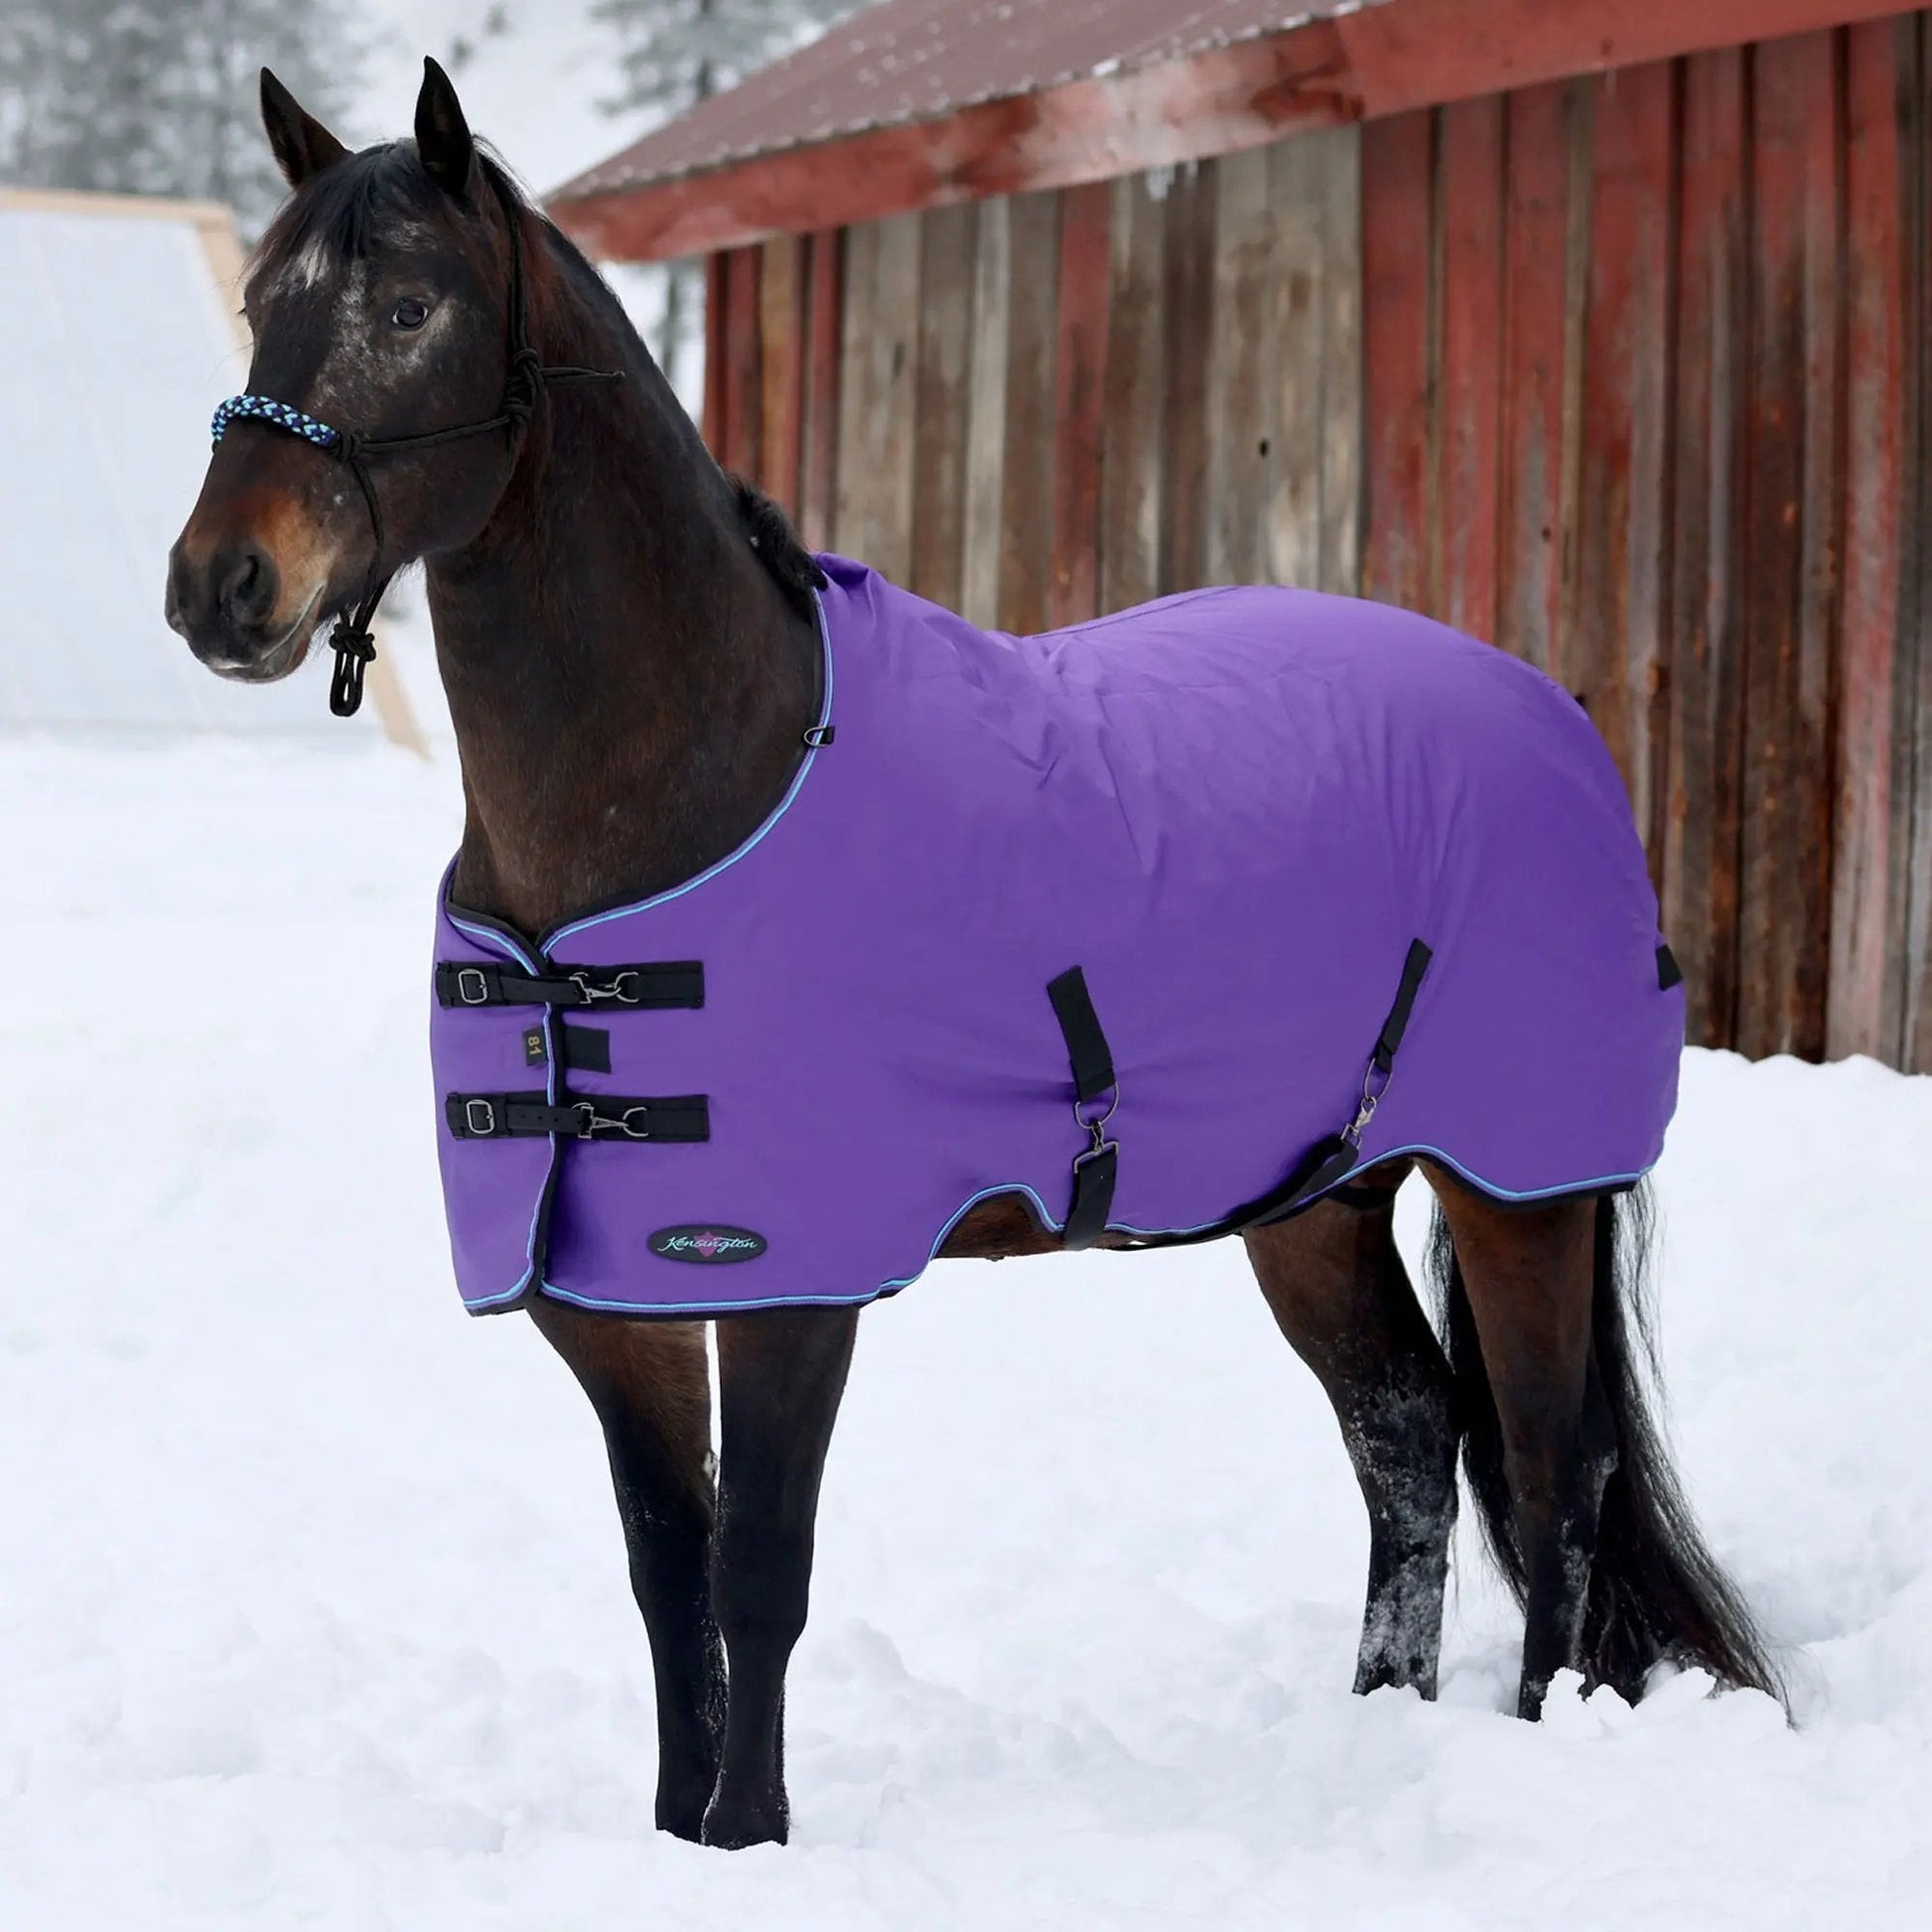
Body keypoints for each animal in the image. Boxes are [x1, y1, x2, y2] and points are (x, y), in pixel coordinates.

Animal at [165, 60, 1781, 1849]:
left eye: (406, 307)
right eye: (259, 304)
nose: (221, 585)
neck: (685, 789)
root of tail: (1547, 706)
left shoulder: (791, 1284)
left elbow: (756, 1575)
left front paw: (746, 1838)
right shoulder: (611, 1303)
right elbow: (667, 1576)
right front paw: (673, 1837)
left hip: (1520, 1189)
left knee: (1554, 1473)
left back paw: (1534, 1736)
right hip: (1315, 1204)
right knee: (1410, 1442)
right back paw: (1381, 1722)